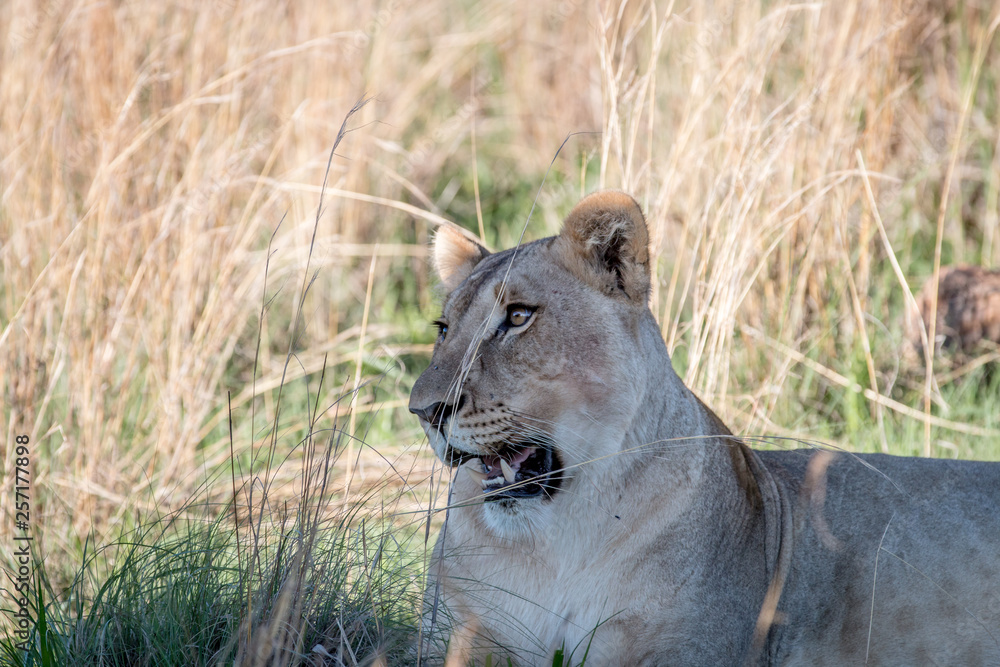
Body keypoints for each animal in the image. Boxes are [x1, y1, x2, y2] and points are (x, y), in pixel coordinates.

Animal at [409, 191, 1000, 666]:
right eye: (443, 328)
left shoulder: (682, 647)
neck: (555, 538)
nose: (424, 410)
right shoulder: (460, 631)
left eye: (518, 317)